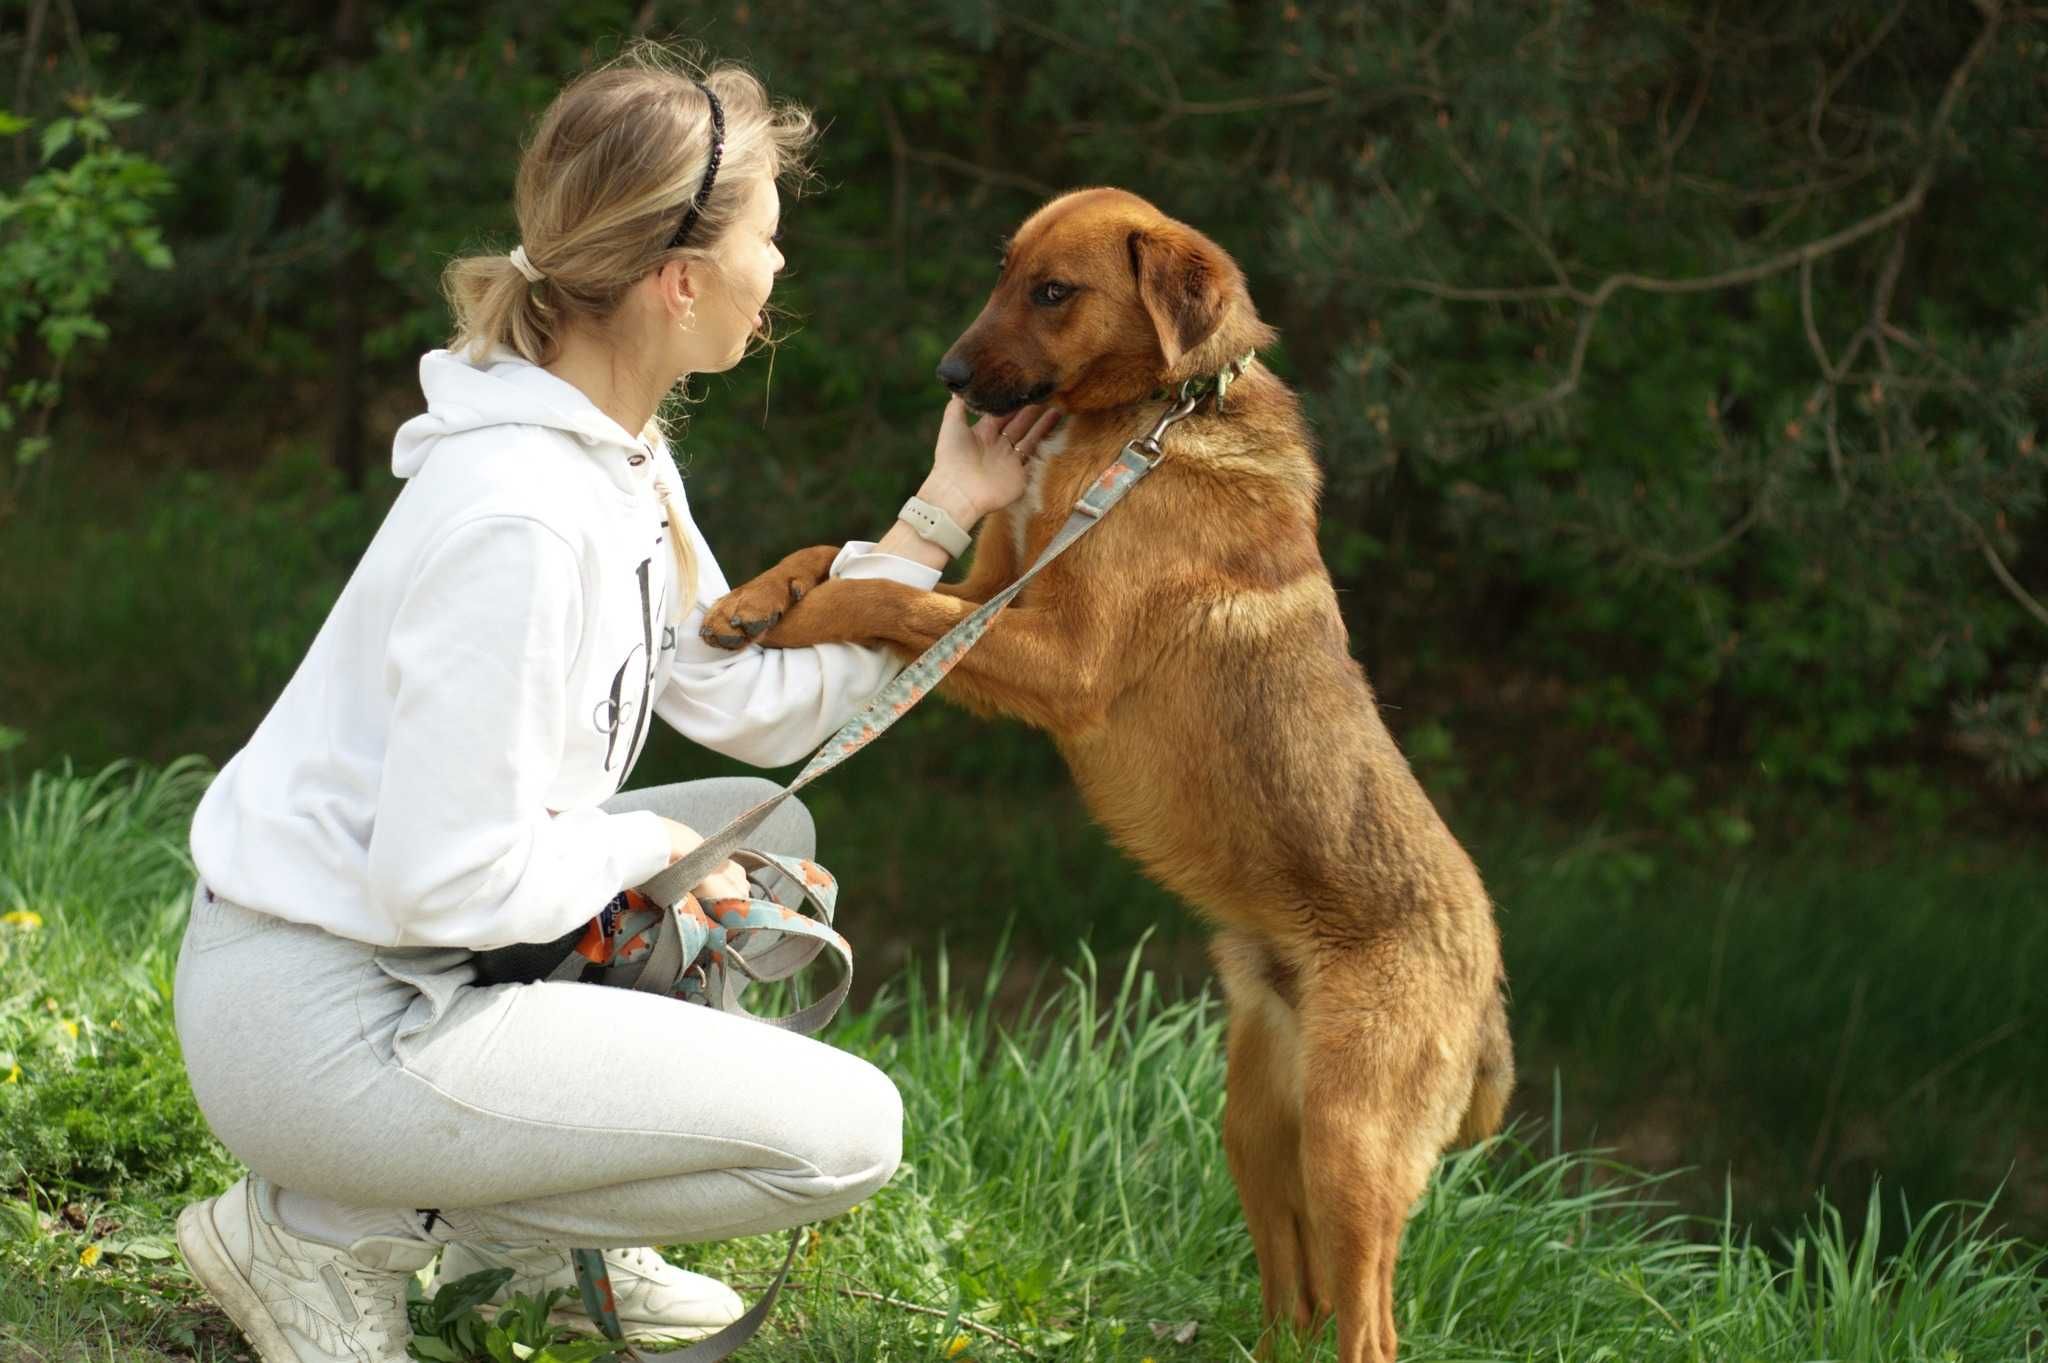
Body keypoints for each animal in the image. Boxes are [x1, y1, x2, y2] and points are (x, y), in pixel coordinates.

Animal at [704, 188, 1523, 1358]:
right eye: (1003, 271)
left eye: (1055, 292)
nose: (949, 377)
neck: (1151, 417)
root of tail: (1487, 972)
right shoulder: (994, 587)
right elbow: (848, 553)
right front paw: (752, 599)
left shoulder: (1060, 655)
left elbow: (882, 591)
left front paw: (803, 615)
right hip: (1256, 1125)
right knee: (1298, 1300)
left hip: (1349, 1142)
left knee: (1366, 1325)